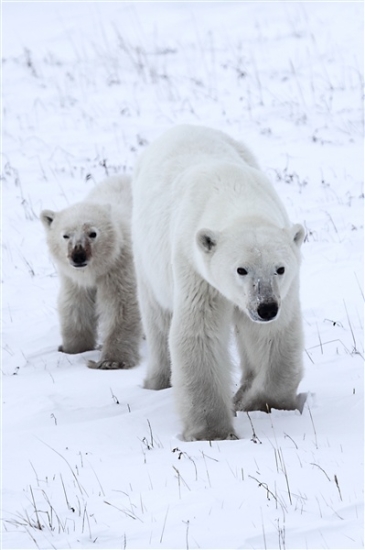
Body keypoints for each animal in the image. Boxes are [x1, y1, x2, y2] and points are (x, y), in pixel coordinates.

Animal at [131, 126, 304, 444]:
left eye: (280, 268)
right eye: (241, 269)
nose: (265, 308)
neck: (235, 194)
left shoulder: (286, 289)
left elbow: (275, 335)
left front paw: (255, 401)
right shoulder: (195, 269)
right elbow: (199, 333)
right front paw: (213, 432)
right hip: (146, 254)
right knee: (157, 316)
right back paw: (157, 380)